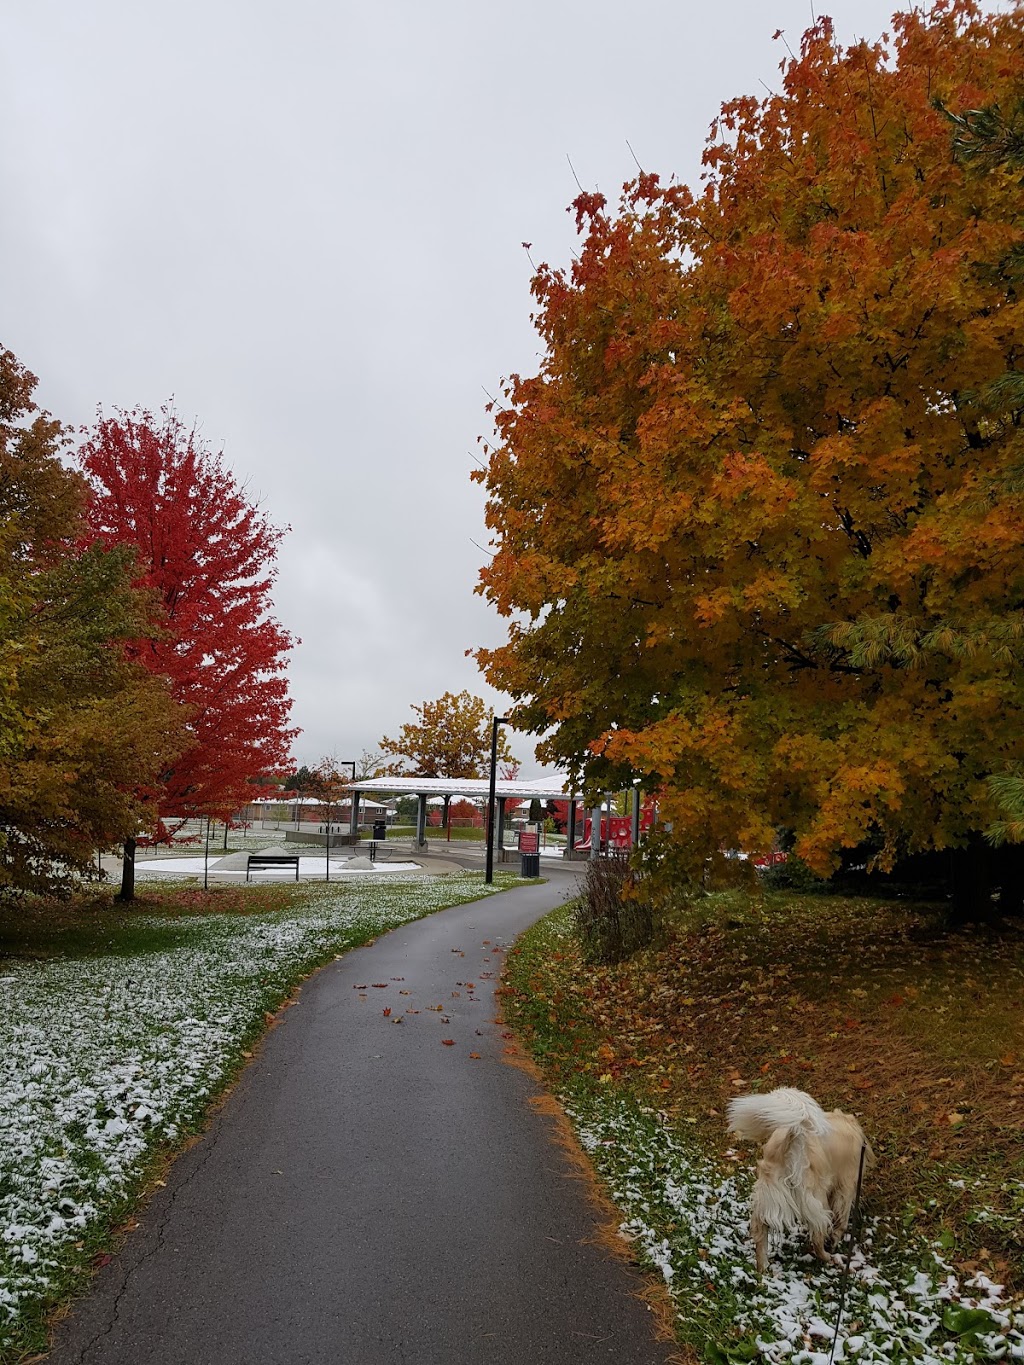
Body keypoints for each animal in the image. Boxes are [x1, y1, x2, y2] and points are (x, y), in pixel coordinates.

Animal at [726, 1086, 879, 1266]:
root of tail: (790, 1143)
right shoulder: (846, 1186)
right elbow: (842, 1219)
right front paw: (835, 1239)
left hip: (767, 1198)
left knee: (760, 1233)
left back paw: (762, 1268)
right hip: (817, 1200)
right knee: (818, 1238)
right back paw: (828, 1257)